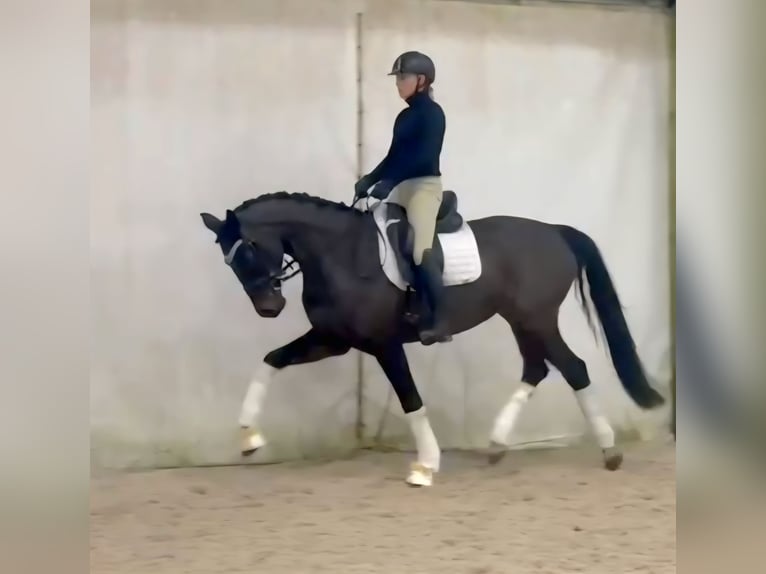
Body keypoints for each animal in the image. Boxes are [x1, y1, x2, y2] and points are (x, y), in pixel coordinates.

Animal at [200, 190, 665, 487]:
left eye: (248, 250)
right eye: (229, 261)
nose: (268, 308)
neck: (341, 254)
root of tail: (554, 230)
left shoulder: (382, 344)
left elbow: (410, 399)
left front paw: (425, 466)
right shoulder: (333, 339)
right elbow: (272, 359)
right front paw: (249, 437)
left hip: (537, 319)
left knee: (574, 368)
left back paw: (609, 451)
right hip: (521, 320)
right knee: (537, 368)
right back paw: (497, 445)